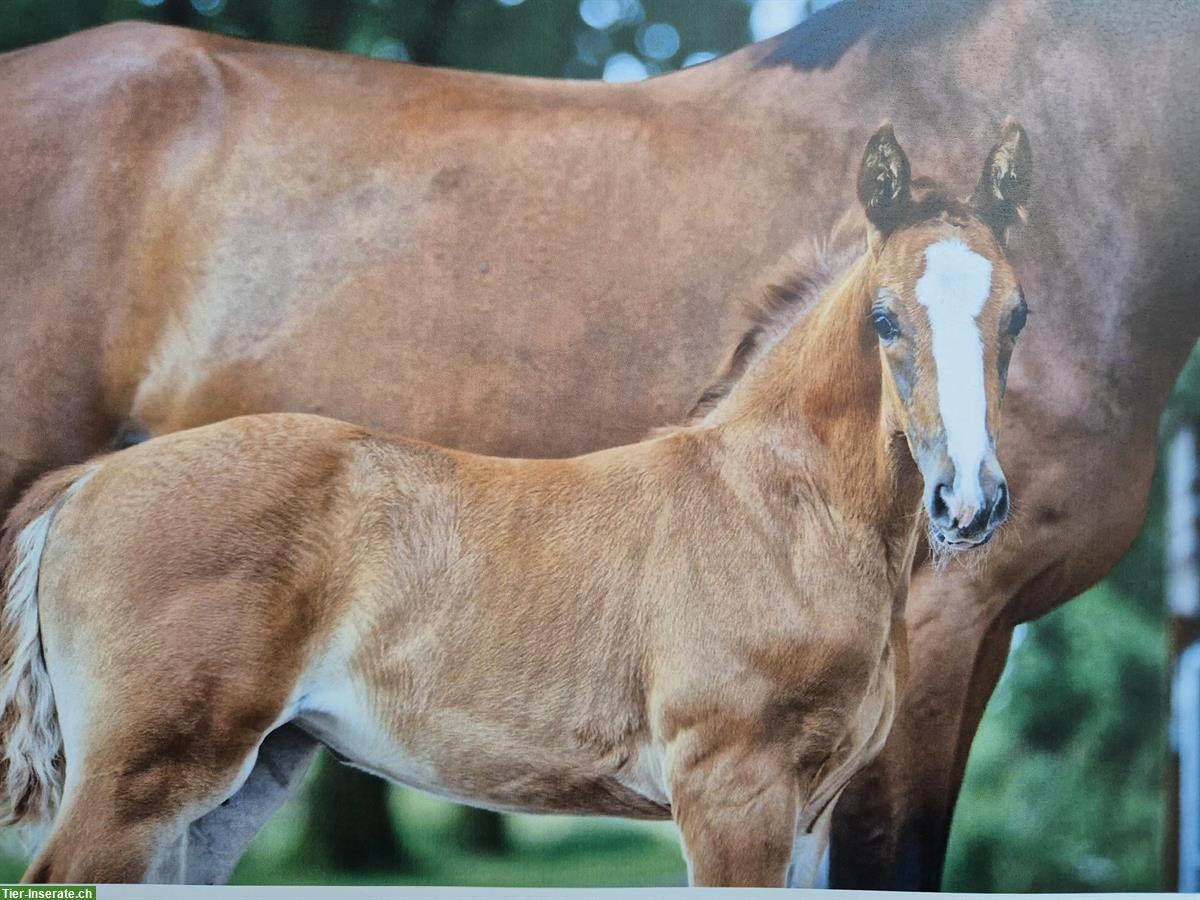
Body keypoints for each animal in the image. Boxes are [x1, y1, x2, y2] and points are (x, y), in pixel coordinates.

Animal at [0, 0, 1195, 888]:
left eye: (1021, 314)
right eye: (886, 319)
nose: (970, 503)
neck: (772, 507)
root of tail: (88, 485)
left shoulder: (814, 796)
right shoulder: (734, 788)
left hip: (234, 779)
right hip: (141, 776)